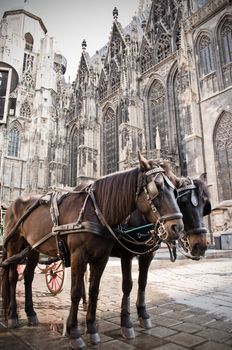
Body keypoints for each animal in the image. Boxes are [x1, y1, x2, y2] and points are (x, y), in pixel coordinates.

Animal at [1, 154, 183, 348]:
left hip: (32, 248)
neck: (96, 211)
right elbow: (76, 291)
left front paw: (92, 330)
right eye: (156, 187)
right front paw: (75, 333)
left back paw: (31, 314)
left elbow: (95, 290)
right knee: (12, 276)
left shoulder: (102, 258)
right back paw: (13, 316)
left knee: (28, 277)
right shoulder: (82, 256)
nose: (177, 227)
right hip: (13, 245)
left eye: (175, 189)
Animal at [111, 165, 212, 340]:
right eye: (182, 202)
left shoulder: (148, 255)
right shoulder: (126, 254)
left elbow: (142, 282)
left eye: (204, 204)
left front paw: (143, 315)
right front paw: (126, 322)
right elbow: (127, 285)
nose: (201, 245)